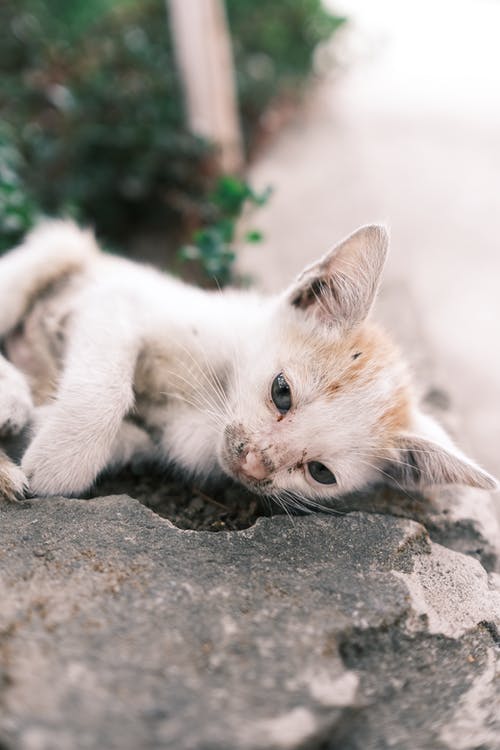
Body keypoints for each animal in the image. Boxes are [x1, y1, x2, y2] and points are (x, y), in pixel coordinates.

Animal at [0, 223, 496, 506]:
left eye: (320, 473)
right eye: (282, 393)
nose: (255, 464)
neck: (213, 394)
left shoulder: (171, 442)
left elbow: (132, 439)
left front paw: (43, 435)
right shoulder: (117, 299)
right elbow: (106, 389)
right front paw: (58, 462)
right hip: (62, 245)